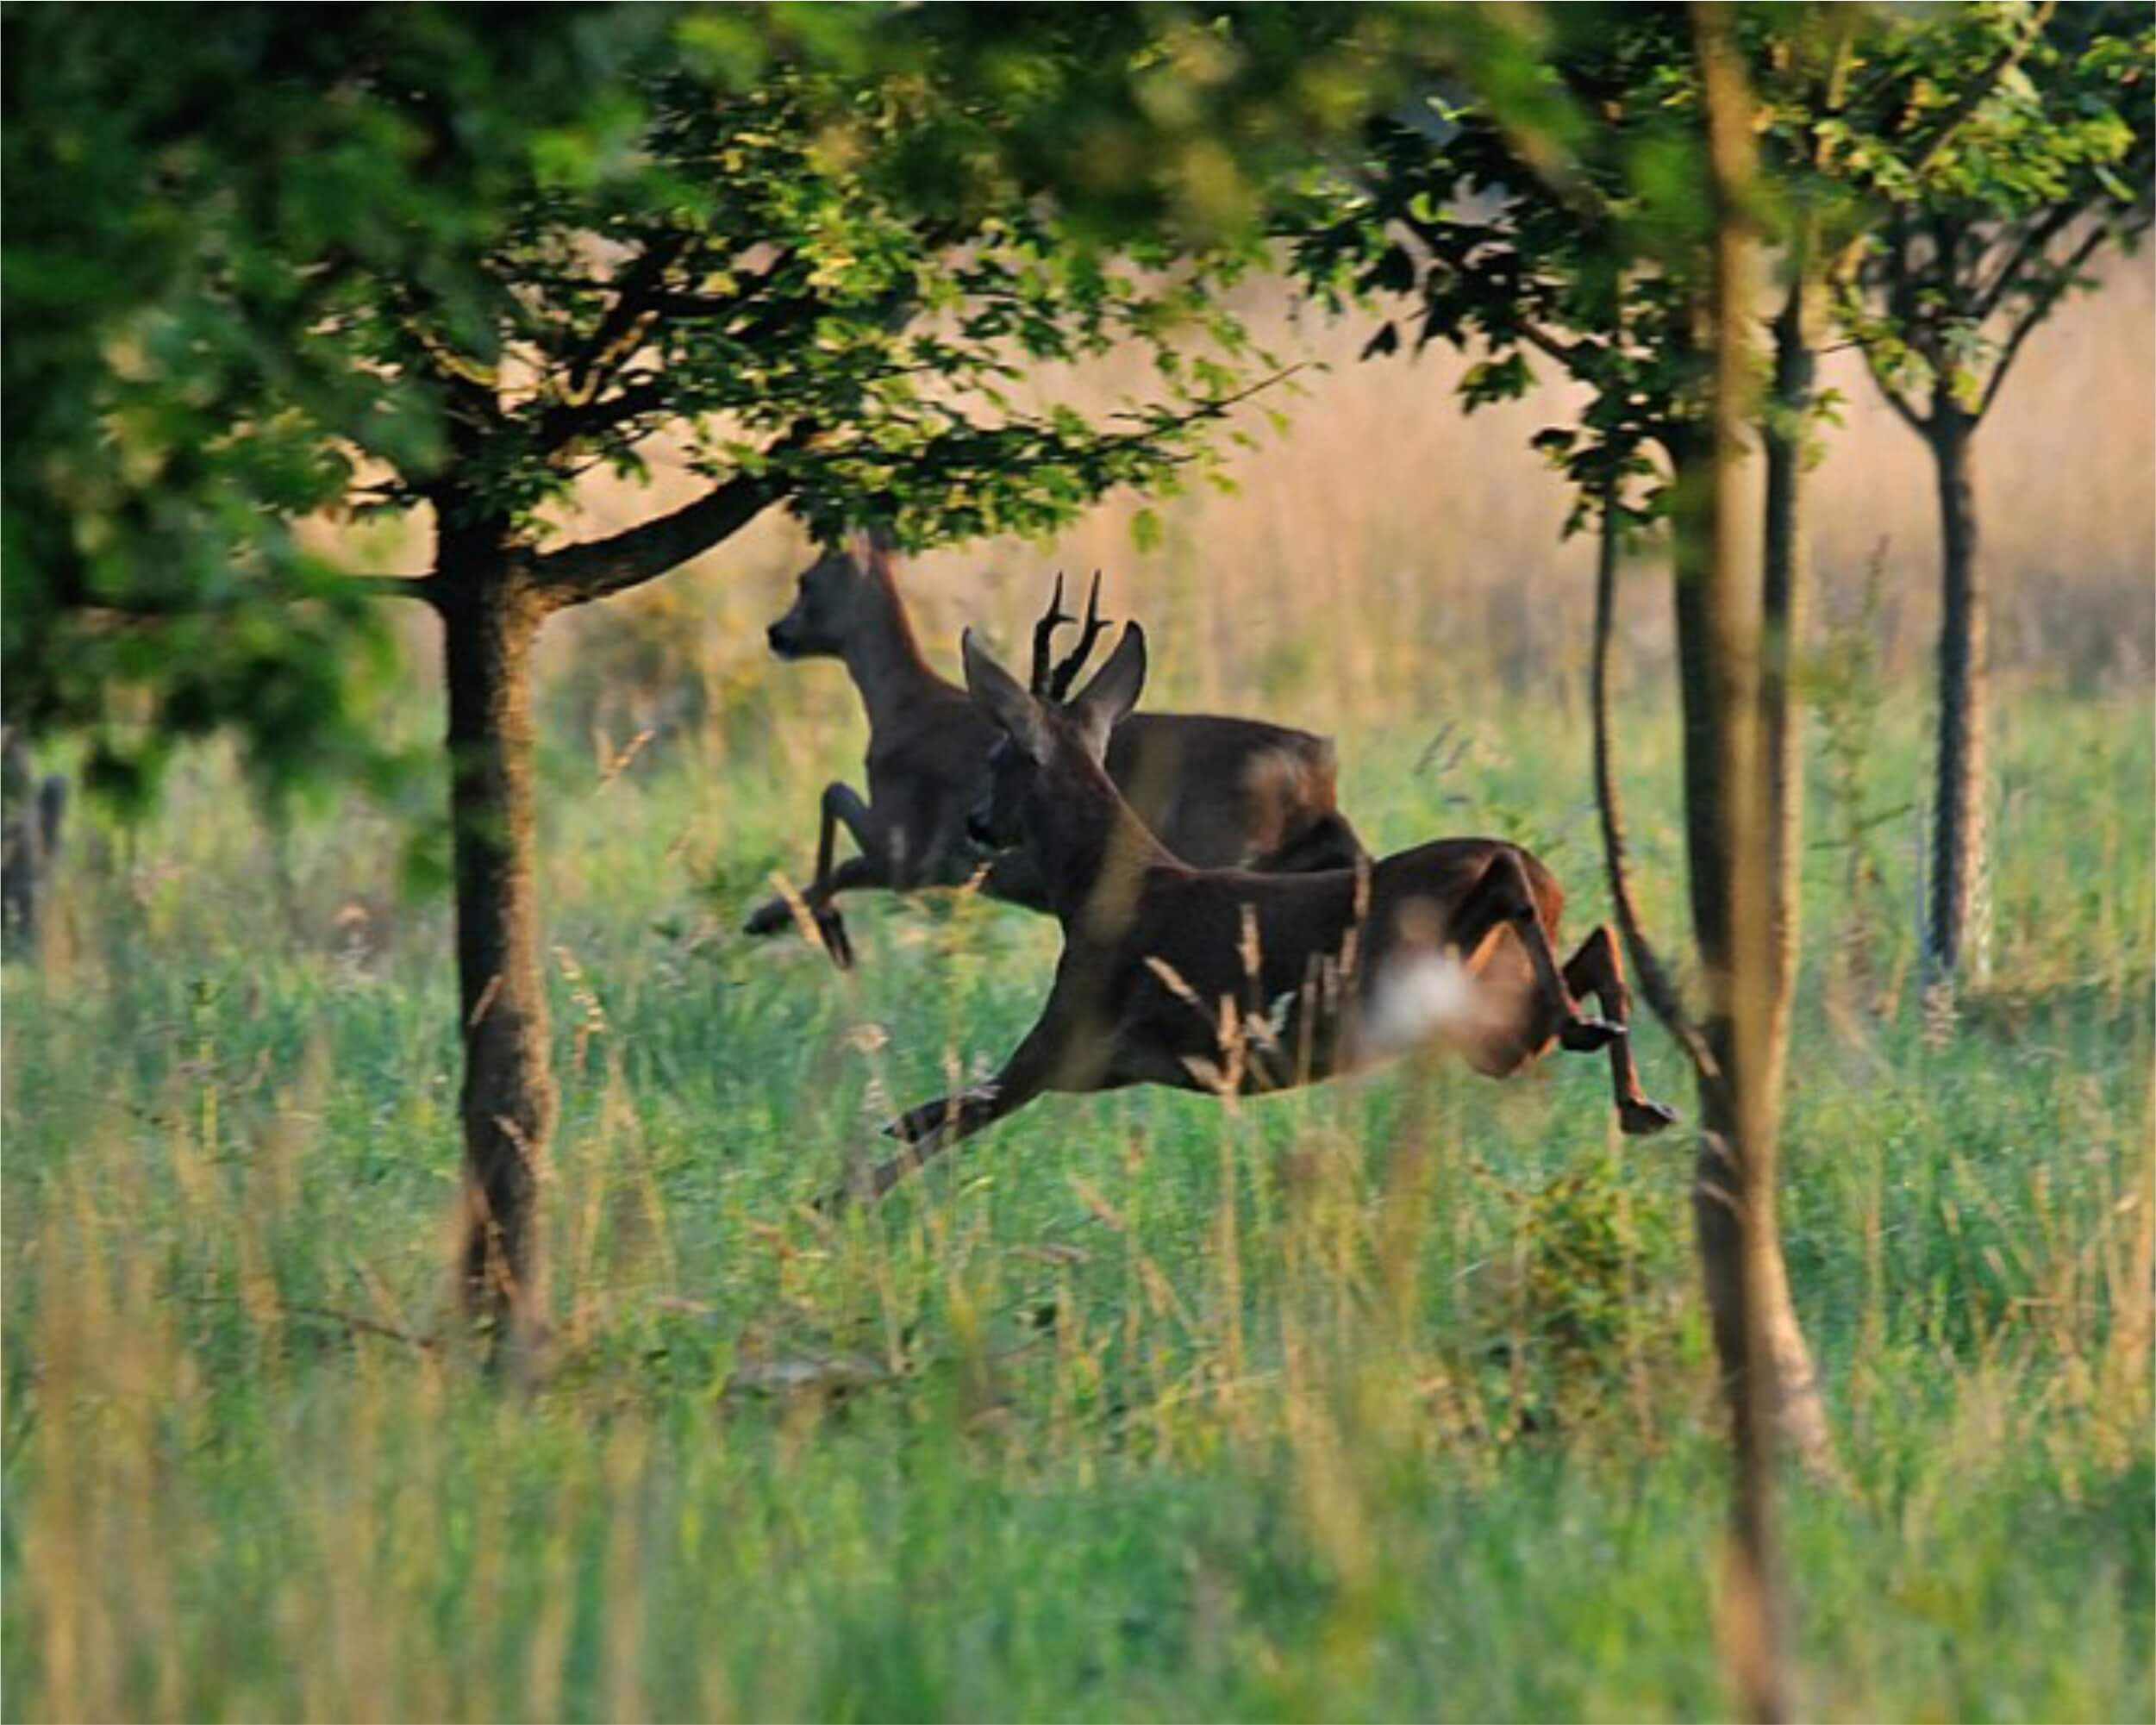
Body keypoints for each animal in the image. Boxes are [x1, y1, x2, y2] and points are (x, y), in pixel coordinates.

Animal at [746, 534, 1362, 970]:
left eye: (806, 580)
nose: (776, 633)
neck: (900, 706)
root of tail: (1316, 766)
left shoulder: (908, 848)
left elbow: (835, 810)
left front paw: (802, 926)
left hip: (1219, 850)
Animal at [841, 621, 1681, 1198]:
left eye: (995, 757)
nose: (978, 823)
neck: (1091, 893)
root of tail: (1547, 879)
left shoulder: (1068, 1029)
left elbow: (952, 1118)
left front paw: (841, 1194)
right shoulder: (1097, 1065)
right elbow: (953, 1111)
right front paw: (885, 1136)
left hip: (1452, 983)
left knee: (1518, 892)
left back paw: (1592, 1032)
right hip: (1488, 1021)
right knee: (1591, 946)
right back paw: (1637, 1096)